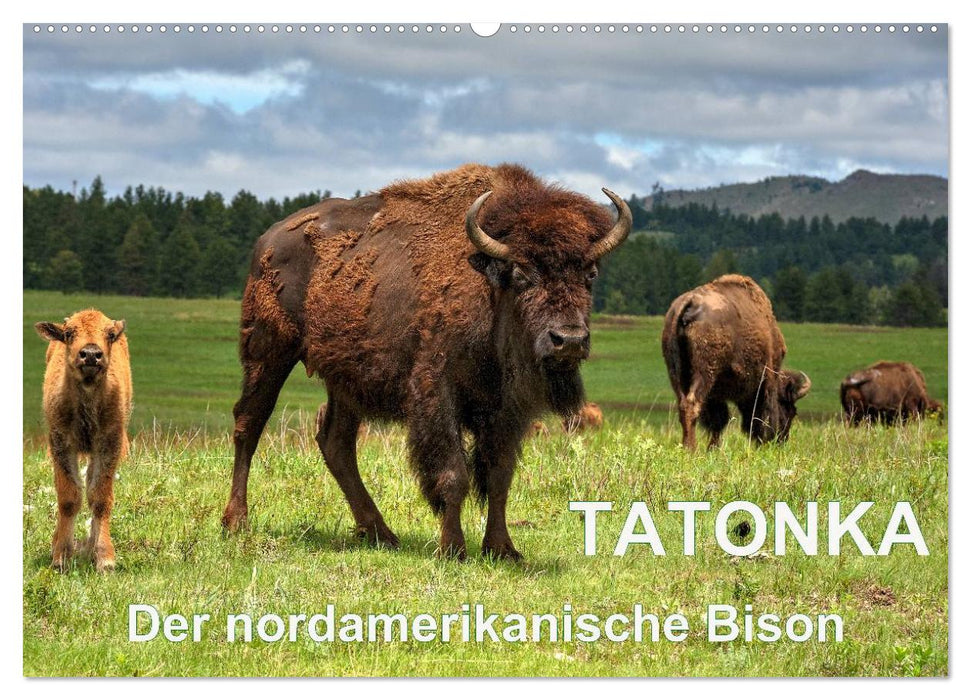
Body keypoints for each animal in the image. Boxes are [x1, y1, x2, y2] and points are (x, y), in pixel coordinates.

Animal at [221, 163, 631, 560]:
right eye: (521, 273)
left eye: (590, 274)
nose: (569, 340)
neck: (489, 286)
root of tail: (268, 239)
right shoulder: (437, 392)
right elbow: (454, 473)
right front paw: (453, 548)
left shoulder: (507, 408)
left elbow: (499, 475)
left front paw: (503, 549)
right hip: (268, 351)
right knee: (249, 423)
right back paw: (236, 522)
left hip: (346, 377)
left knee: (336, 441)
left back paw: (381, 533)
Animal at [661, 274, 811, 450]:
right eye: (790, 410)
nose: (781, 440)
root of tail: (691, 302)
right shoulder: (766, 382)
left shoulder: (716, 395)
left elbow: (719, 421)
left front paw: (713, 449)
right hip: (704, 374)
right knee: (692, 404)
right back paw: (691, 449)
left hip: (676, 373)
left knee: (684, 405)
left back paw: (686, 447)